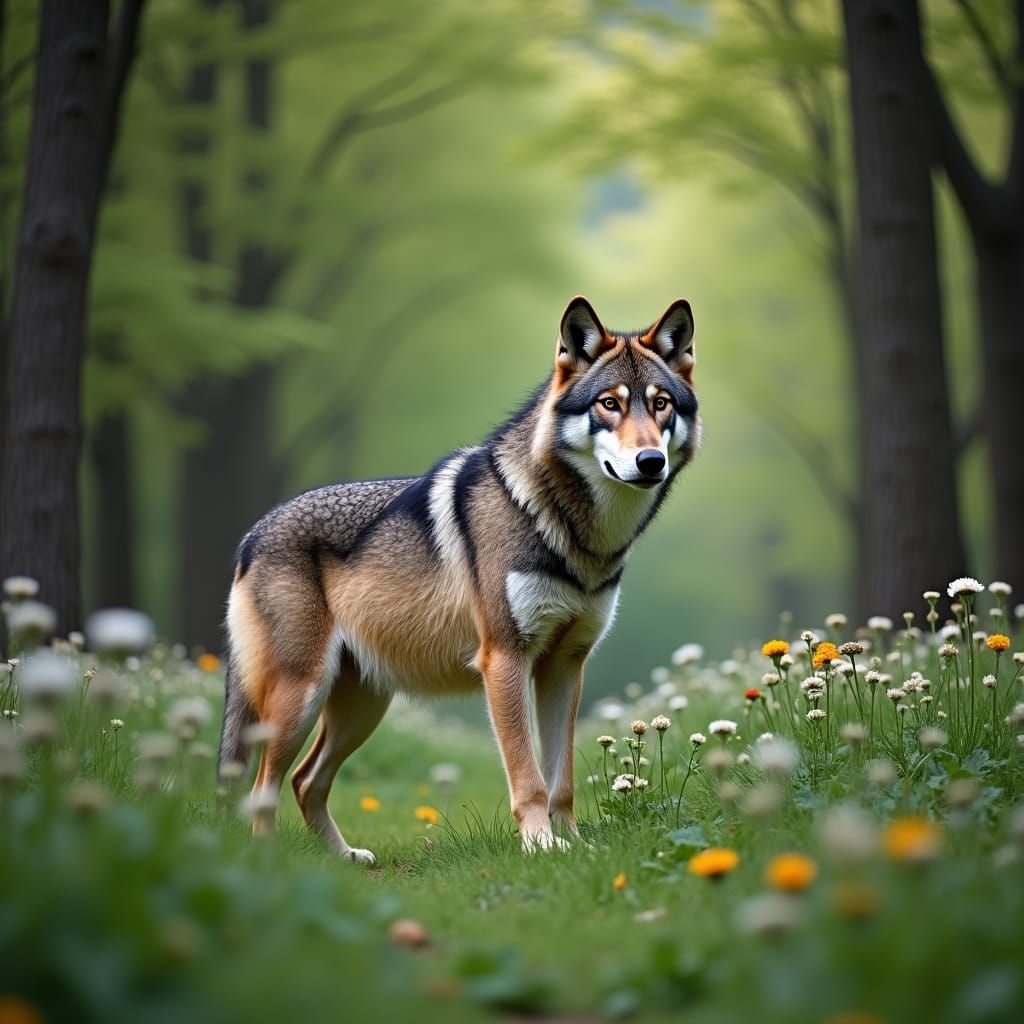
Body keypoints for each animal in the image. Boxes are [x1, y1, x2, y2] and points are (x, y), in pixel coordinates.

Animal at [217, 296, 700, 859]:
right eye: (609, 404)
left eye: (661, 404)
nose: (651, 461)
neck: (572, 531)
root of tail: (252, 534)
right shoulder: (504, 659)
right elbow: (529, 778)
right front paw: (542, 847)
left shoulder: (565, 667)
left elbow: (562, 782)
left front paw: (577, 848)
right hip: (301, 698)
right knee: (263, 785)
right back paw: (269, 860)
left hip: (361, 708)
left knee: (305, 781)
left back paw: (343, 859)